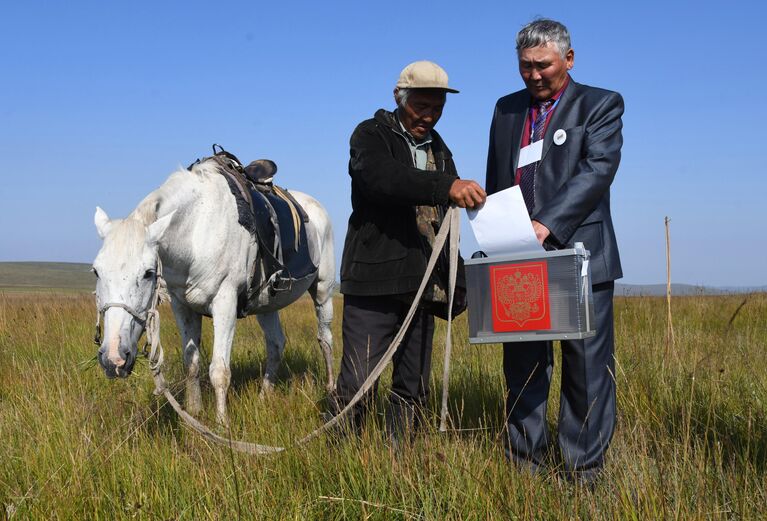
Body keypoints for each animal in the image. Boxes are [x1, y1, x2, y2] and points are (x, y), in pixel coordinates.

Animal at [91, 159, 336, 426]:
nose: (113, 358)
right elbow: (191, 363)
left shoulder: (225, 303)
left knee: (325, 339)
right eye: (96, 272)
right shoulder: (182, 306)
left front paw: (222, 425)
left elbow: (219, 370)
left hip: (323, 291)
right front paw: (194, 413)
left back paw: (331, 390)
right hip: (267, 305)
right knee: (276, 345)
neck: (196, 231)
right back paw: (264, 397)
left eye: (148, 273)